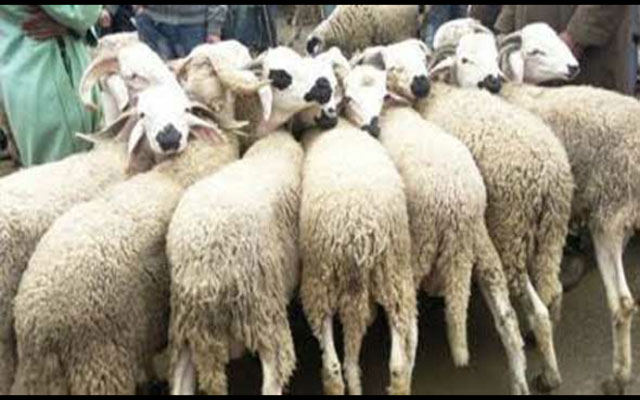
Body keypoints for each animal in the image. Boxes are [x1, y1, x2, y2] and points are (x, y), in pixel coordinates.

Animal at [12, 110, 239, 395]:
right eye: (144, 114)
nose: (169, 138)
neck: (175, 172)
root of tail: (38, 324)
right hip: (100, 365)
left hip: (43, 377)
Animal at [339, 59, 529, 394]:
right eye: (349, 97)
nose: (371, 127)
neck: (392, 111)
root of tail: (455, 207)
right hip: (482, 243)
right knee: (507, 319)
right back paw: (522, 380)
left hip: (414, 252)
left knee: (408, 337)